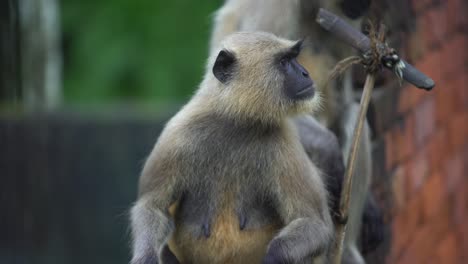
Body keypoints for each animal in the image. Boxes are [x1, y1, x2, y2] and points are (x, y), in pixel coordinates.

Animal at [130, 33, 338, 264]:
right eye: (284, 62)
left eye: (294, 58)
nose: (305, 73)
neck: (236, 122)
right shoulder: (176, 136)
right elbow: (152, 205)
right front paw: (146, 257)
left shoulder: (285, 142)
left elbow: (316, 224)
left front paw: (272, 257)